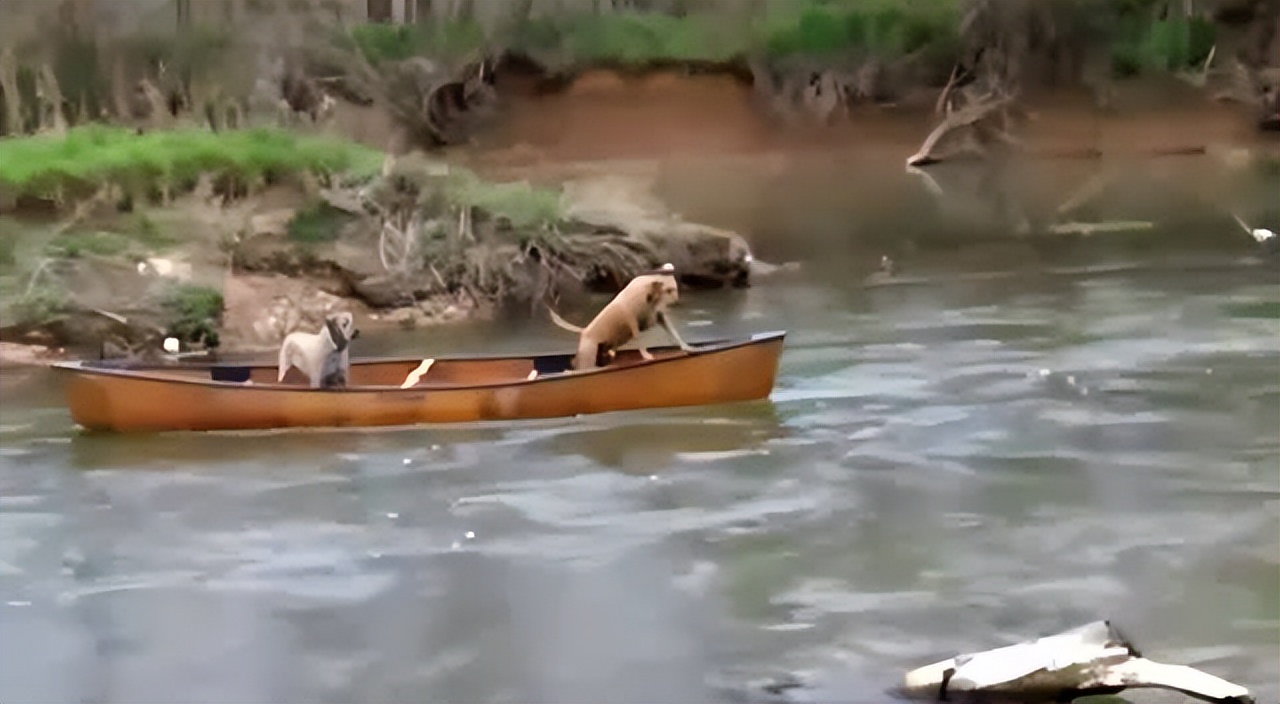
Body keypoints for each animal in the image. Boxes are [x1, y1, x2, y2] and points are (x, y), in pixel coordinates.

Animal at [547, 263, 696, 373]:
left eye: (675, 288)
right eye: (669, 290)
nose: (677, 302)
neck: (648, 294)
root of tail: (584, 331)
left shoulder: (658, 315)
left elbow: (674, 332)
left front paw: (687, 347)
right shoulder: (632, 319)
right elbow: (639, 339)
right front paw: (646, 356)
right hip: (587, 357)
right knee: (581, 368)